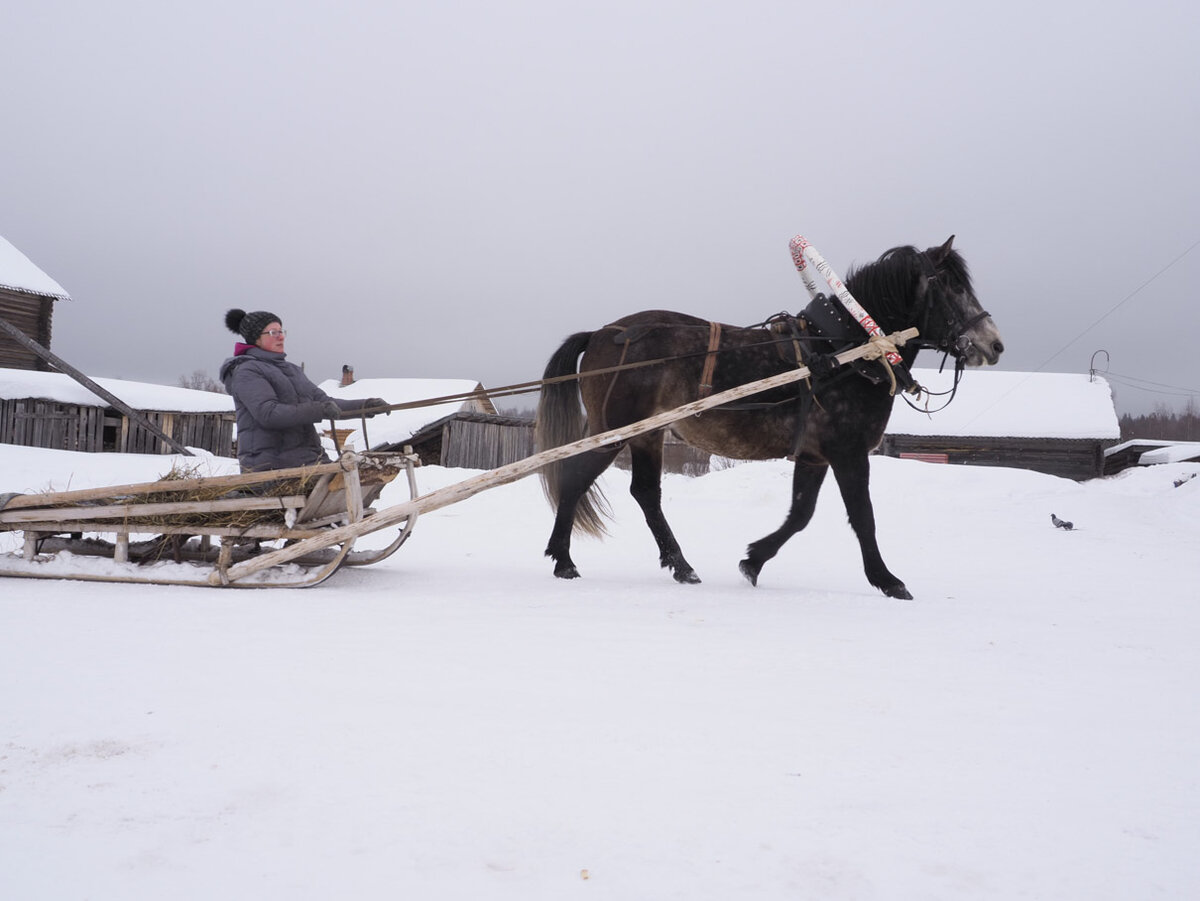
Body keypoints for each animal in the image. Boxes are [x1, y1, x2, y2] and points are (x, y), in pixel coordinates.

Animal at [535, 237, 1003, 599]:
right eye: (951, 286)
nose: (994, 344)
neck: (840, 351)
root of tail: (602, 333)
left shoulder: (815, 456)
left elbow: (801, 513)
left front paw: (753, 561)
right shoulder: (848, 452)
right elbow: (863, 516)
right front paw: (888, 580)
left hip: (646, 435)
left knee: (646, 493)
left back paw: (681, 565)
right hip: (614, 432)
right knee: (575, 478)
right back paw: (563, 559)